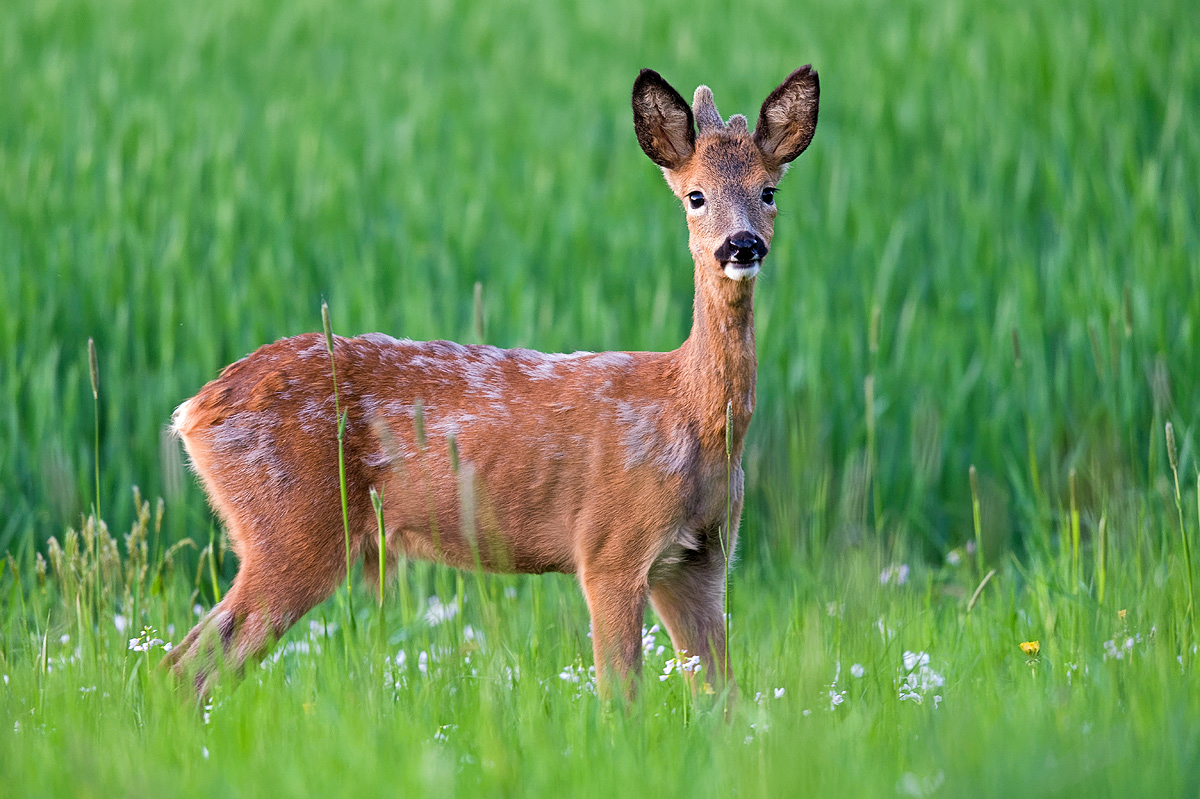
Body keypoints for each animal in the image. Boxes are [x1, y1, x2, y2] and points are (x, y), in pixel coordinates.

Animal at [164, 66, 820, 695]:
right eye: (695, 196)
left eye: (768, 191)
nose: (742, 245)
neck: (690, 415)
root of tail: (196, 408)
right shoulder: (609, 547)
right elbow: (621, 698)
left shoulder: (700, 558)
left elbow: (725, 701)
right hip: (291, 531)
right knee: (185, 665)